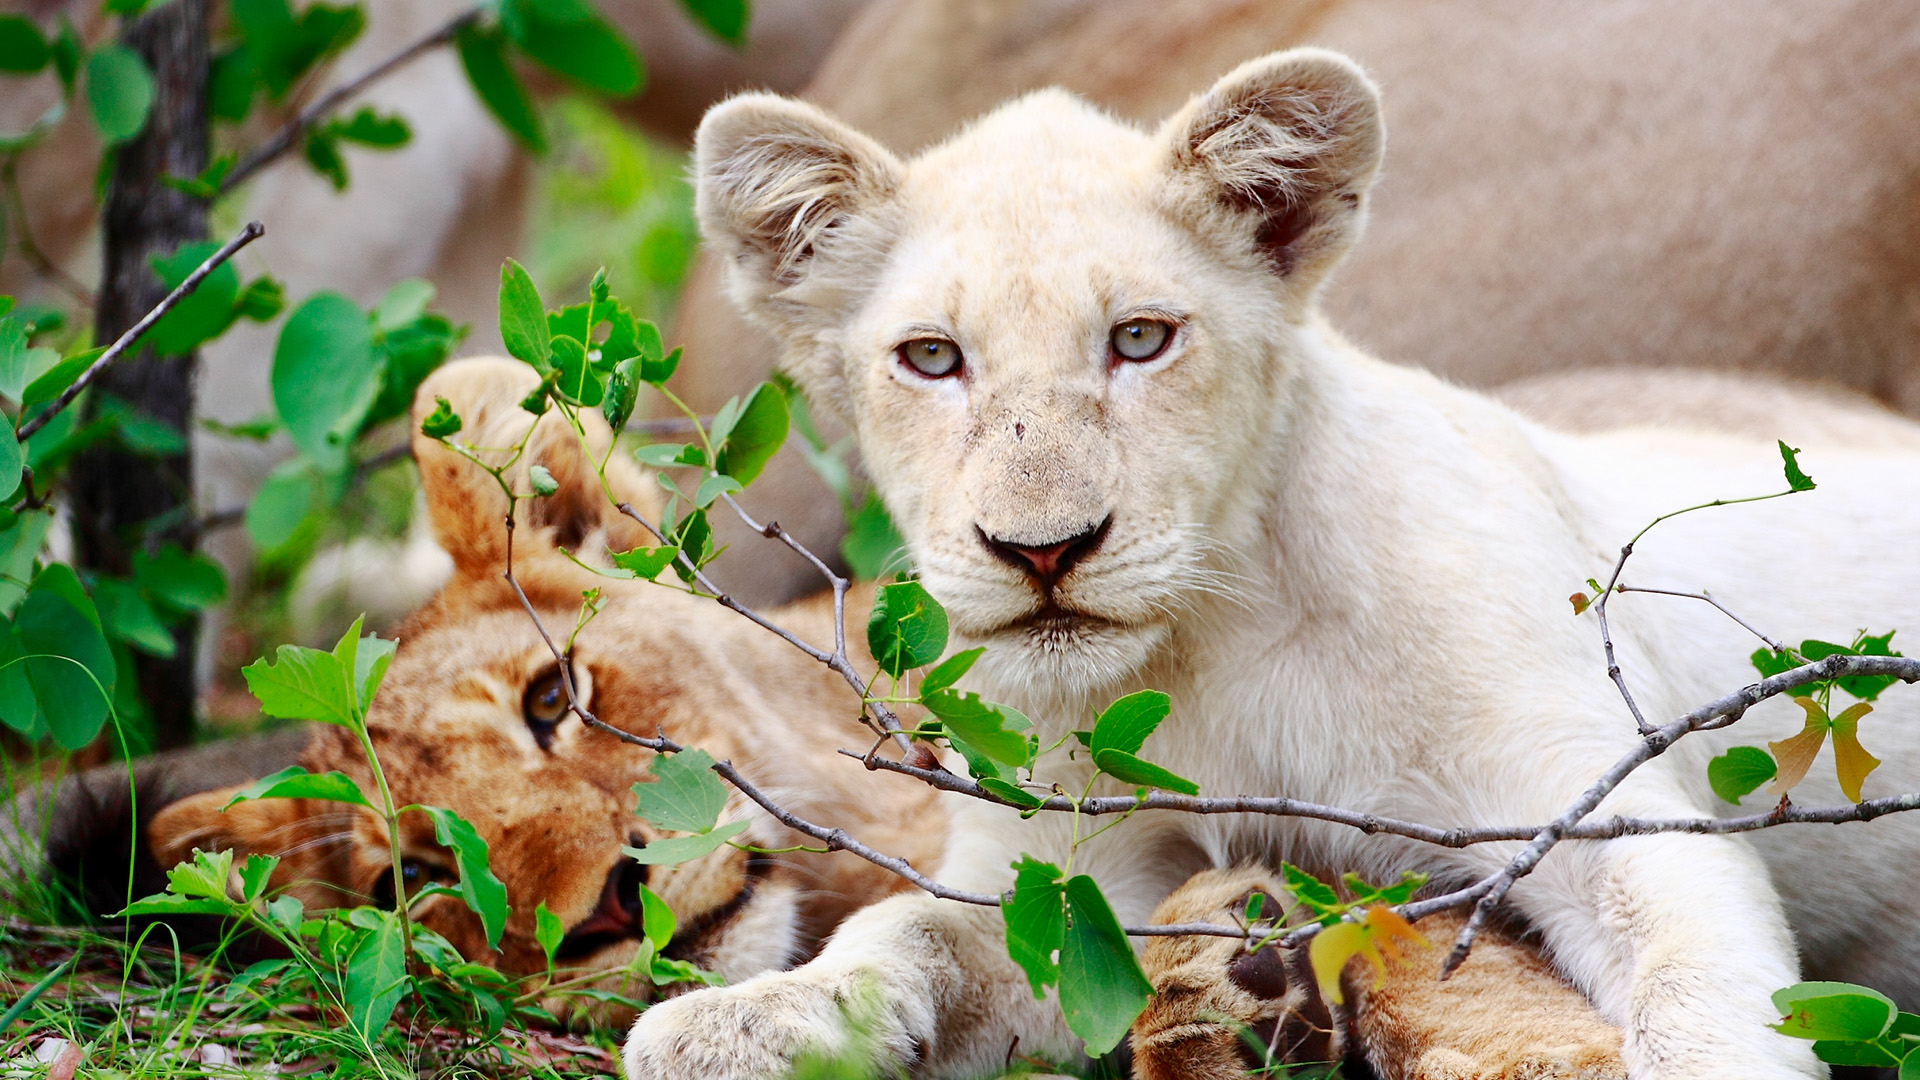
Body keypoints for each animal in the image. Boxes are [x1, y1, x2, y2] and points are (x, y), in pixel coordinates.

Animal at [623, 46, 1920, 1079]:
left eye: (1140, 339)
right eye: (933, 358)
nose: (1043, 551)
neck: (1218, 646)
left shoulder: (1599, 814)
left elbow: (1694, 997)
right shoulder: (1069, 885)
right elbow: (908, 931)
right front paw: (749, 1019)